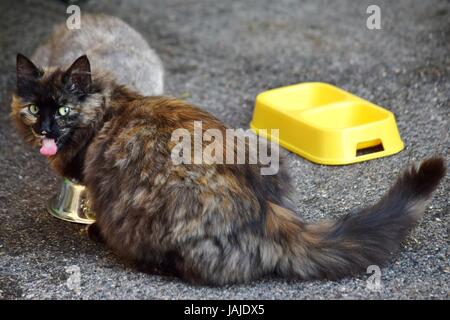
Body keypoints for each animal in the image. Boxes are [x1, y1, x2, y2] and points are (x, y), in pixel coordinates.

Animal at [11, 53, 446, 286]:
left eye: (64, 110)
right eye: (33, 108)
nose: (45, 129)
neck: (110, 106)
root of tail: (268, 214)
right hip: (268, 152)